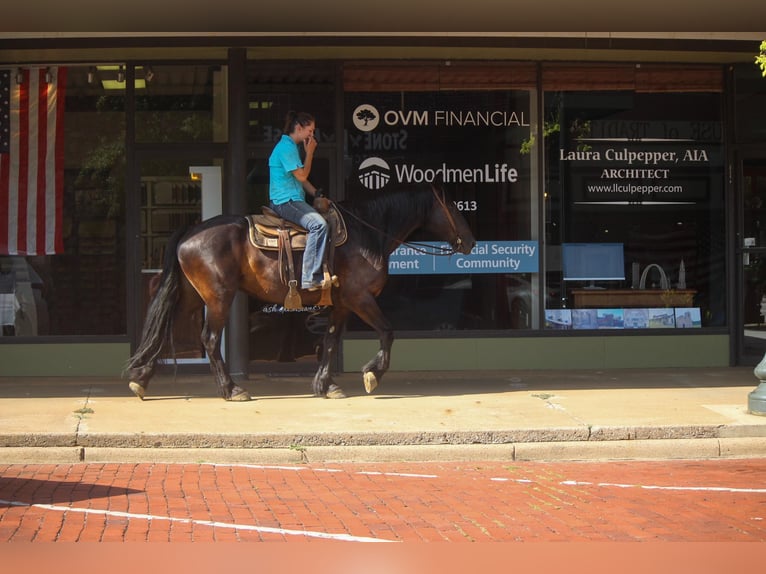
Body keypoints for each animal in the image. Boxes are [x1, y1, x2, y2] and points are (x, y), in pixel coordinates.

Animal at [124, 183, 476, 400]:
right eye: (453, 206)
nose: (471, 241)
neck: (366, 233)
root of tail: (192, 230)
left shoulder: (342, 303)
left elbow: (331, 340)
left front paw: (326, 385)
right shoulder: (360, 298)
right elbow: (388, 332)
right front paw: (372, 374)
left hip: (192, 295)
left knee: (167, 327)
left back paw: (140, 380)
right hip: (218, 297)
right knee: (209, 339)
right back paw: (232, 389)